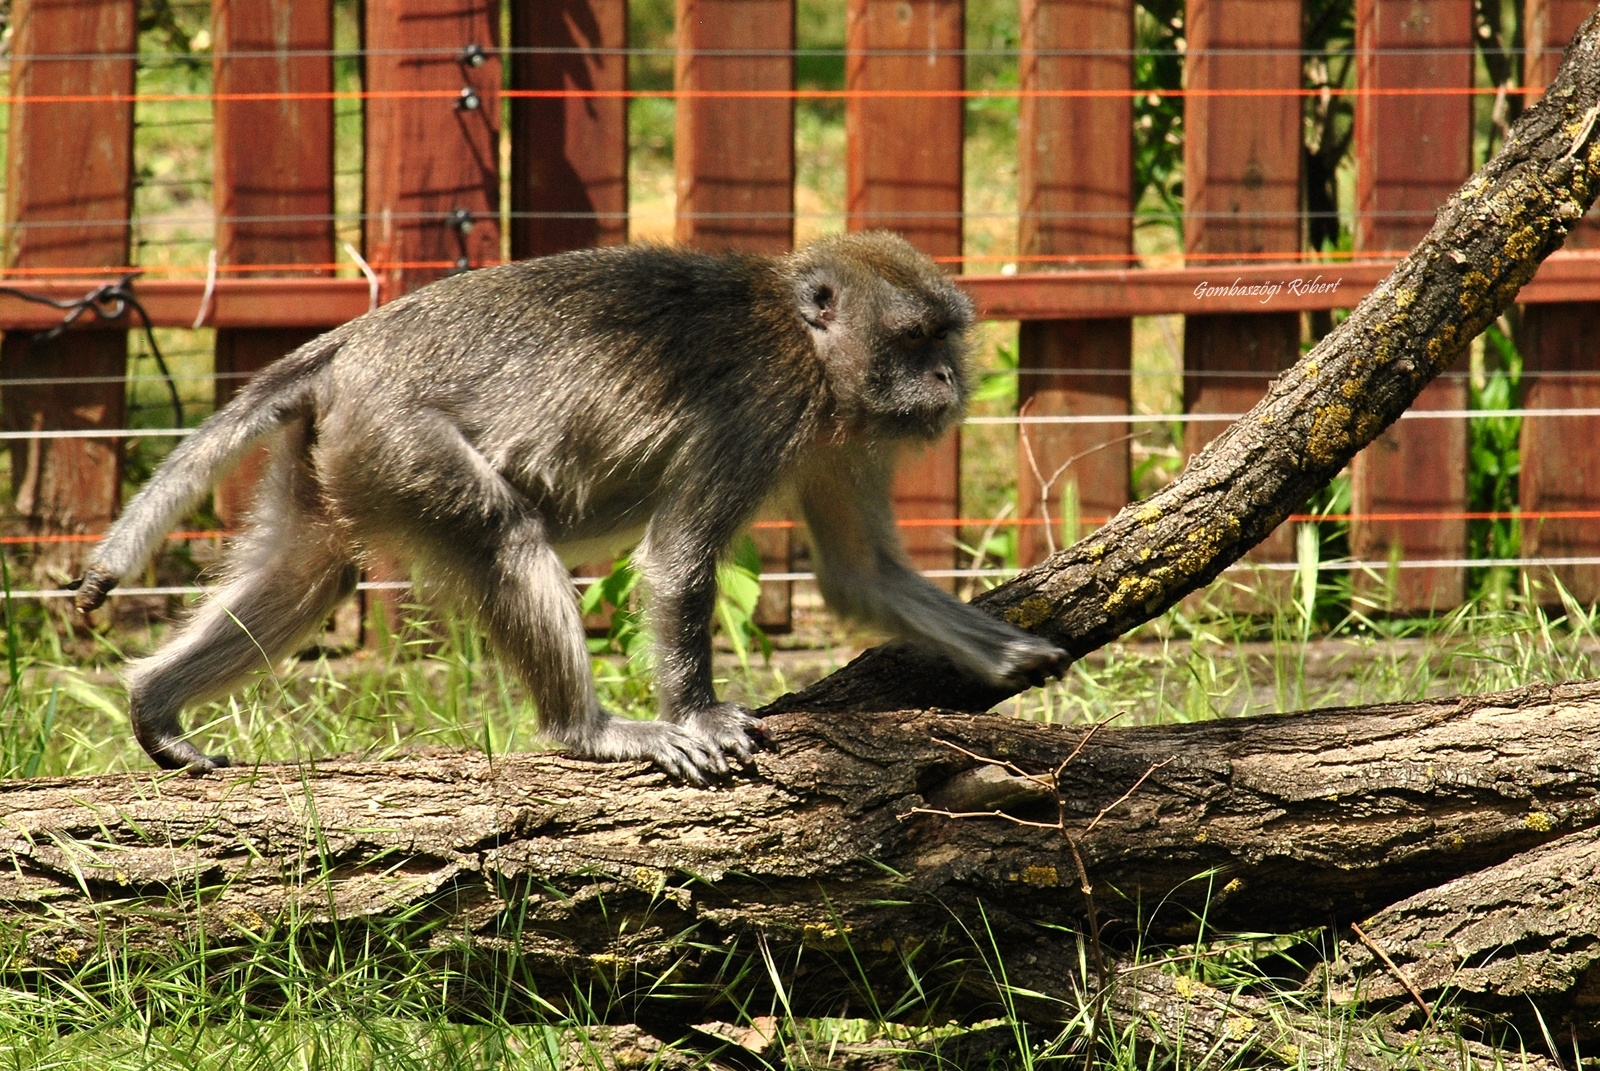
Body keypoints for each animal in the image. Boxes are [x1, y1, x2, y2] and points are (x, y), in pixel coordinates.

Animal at [78, 233, 1075, 781]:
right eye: (913, 341)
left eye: (945, 339)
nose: (946, 380)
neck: (809, 345)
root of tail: (355, 342)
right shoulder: (759, 406)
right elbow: (677, 563)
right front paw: (699, 714)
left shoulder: (839, 434)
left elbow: (862, 575)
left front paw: (1012, 651)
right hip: (400, 436)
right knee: (502, 531)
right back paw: (586, 733)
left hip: (340, 453)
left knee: (307, 574)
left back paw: (153, 704)